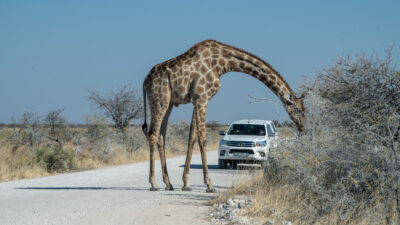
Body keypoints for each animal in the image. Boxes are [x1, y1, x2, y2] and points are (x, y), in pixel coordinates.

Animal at [142, 39, 304, 192]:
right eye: (299, 109)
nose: (302, 127)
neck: (223, 63)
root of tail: (145, 81)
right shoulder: (202, 97)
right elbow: (202, 139)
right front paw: (209, 185)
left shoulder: (197, 99)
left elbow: (191, 138)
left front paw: (186, 184)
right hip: (160, 100)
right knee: (153, 135)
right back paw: (154, 183)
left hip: (168, 103)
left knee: (161, 136)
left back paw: (168, 184)